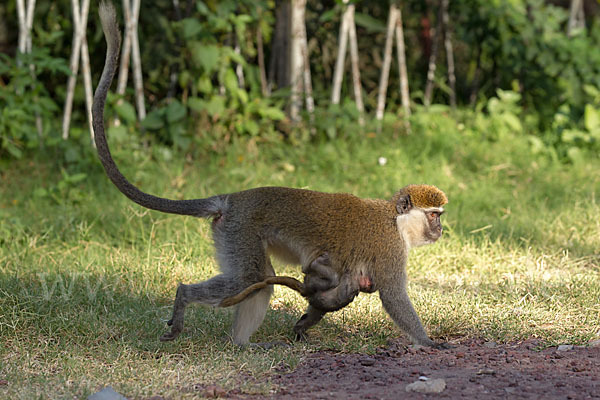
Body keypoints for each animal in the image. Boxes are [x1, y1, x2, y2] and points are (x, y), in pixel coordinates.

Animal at [95, 2, 450, 346]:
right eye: (434, 215)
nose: (441, 230)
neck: (396, 220)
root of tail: (233, 200)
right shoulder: (390, 249)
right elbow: (393, 295)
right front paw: (429, 342)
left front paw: (304, 324)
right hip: (241, 231)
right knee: (248, 278)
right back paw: (185, 298)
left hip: (231, 234)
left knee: (260, 283)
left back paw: (241, 345)